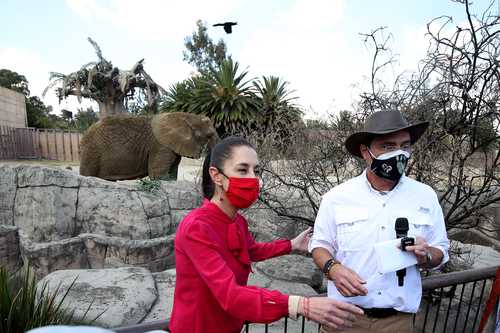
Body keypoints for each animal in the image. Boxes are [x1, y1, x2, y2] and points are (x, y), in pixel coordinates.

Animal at [79, 112, 218, 180]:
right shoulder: (160, 146)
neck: (187, 116)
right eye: (209, 135)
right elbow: (158, 176)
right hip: (92, 151)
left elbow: (172, 176)